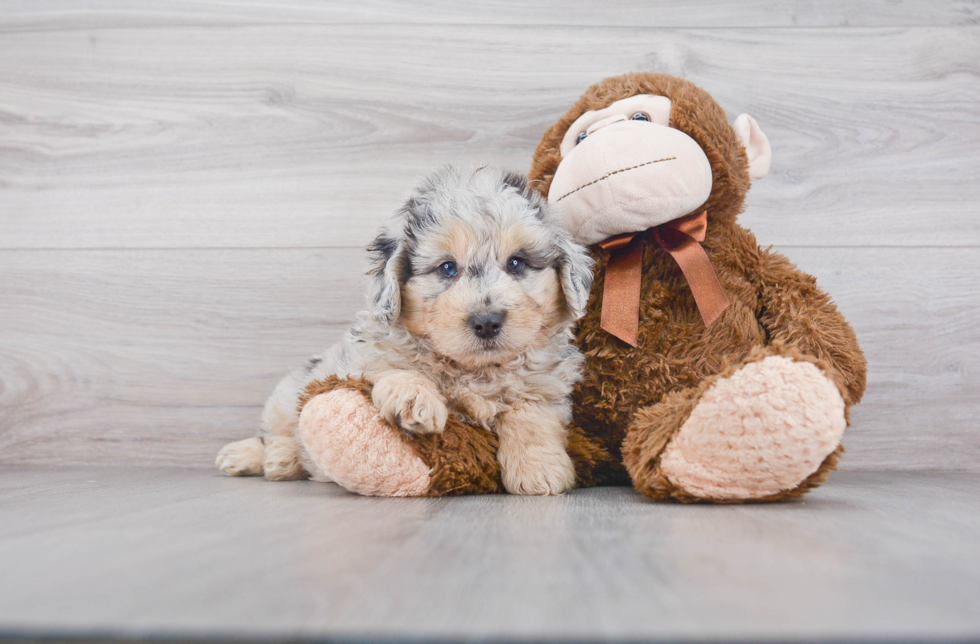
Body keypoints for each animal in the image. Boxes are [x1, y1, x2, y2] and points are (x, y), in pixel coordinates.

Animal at [217, 164, 592, 496]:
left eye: (517, 263)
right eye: (447, 268)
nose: (487, 321)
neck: (476, 371)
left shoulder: (546, 384)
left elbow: (531, 414)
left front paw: (539, 469)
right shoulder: (366, 354)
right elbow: (396, 365)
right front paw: (414, 399)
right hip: (287, 395)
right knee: (277, 432)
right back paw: (263, 457)